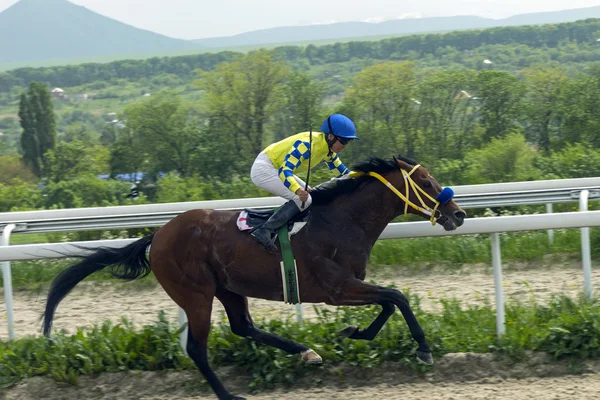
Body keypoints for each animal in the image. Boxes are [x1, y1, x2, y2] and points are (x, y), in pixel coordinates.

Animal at [42, 155, 466, 400]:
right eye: (426, 183)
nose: (458, 214)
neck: (344, 220)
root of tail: (157, 235)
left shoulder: (348, 287)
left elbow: (389, 302)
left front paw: (355, 333)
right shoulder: (337, 288)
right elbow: (397, 297)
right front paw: (423, 349)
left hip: (229, 288)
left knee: (243, 327)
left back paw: (306, 351)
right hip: (196, 294)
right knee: (197, 348)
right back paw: (230, 395)